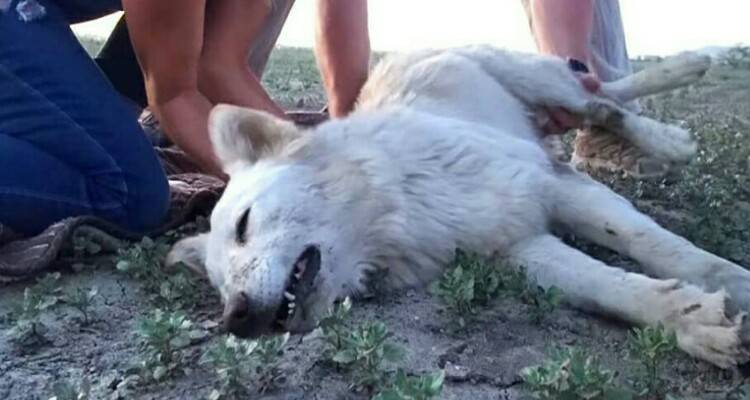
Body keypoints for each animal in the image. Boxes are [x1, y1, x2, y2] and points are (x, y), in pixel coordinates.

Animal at [167, 47, 750, 368]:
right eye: (219, 288)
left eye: (245, 225)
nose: (235, 319)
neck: (398, 208)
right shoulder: (516, 247)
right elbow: (610, 289)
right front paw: (694, 322)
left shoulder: (553, 185)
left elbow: (659, 246)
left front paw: (733, 281)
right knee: (603, 102)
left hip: (541, 81)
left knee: (604, 97)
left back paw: (676, 112)